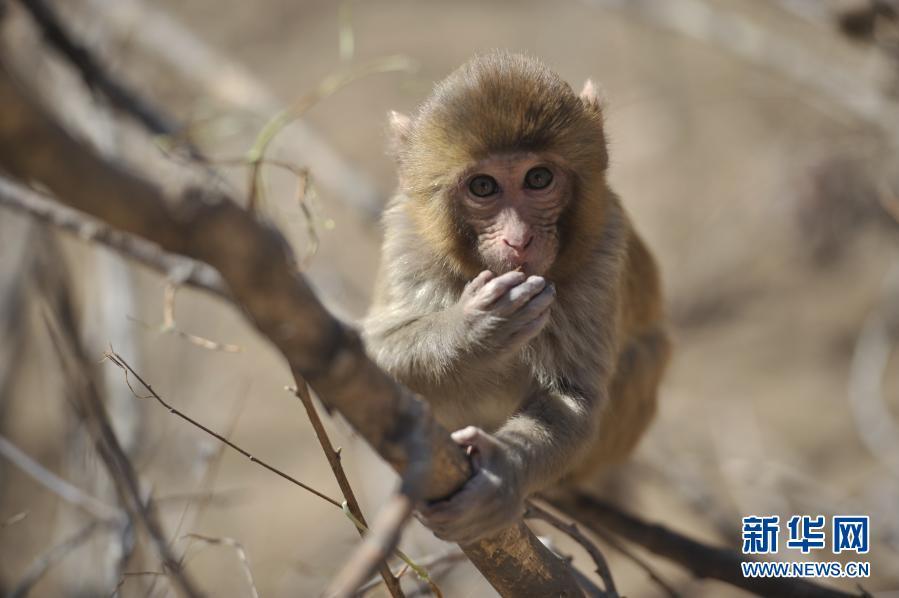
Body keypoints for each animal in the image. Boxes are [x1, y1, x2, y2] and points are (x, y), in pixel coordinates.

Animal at [364, 51, 668, 548]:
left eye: (538, 178)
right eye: (483, 187)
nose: (519, 239)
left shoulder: (605, 244)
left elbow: (573, 397)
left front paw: (499, 476)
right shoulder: (408, 237)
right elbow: (371, 354)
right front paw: (472, 333)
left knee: (643, 354)